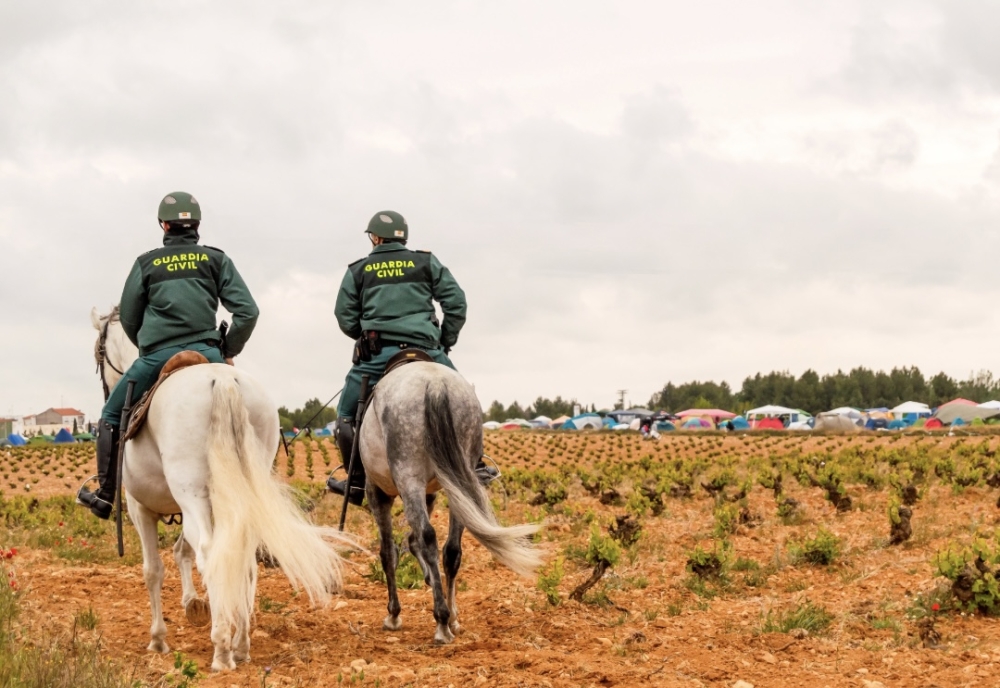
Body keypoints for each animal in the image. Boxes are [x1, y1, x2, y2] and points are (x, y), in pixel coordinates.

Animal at [93, 308, 352, 672]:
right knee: (242, 559)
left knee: (211, 554)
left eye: (99, 352)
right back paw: (240, 644)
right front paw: (194, 605)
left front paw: (158, 639)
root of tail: (224, 382)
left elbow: (153, 570)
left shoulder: (140, 508)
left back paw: (222, 649)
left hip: (191, 498)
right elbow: (183, 553)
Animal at [360, 362, 544, 644]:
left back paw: (441, 621)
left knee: (427, 537)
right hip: (459, 481)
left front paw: (393, 614)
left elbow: (388, 552)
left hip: (409, 477)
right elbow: (413, 544)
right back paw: (452, 618)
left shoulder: (378, 492)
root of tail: (435, 383)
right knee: (452, 550)